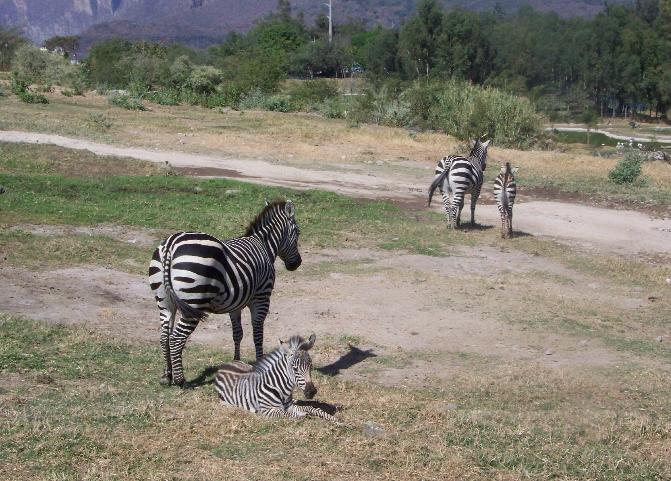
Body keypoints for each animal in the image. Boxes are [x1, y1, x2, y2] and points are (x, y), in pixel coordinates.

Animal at [148, 200, 302, 388]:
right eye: (298, 232)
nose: (296, 264)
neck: (264, 246)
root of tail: (171, 243)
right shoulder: (262, 297)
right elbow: (258, 333)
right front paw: (260, 363)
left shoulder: (236, 303)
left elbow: (238, 333)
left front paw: (236, 362)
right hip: (193, 303)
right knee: (176, 338)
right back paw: (180, 380)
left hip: (165, 301)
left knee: (164, 336)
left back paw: (166, 376)